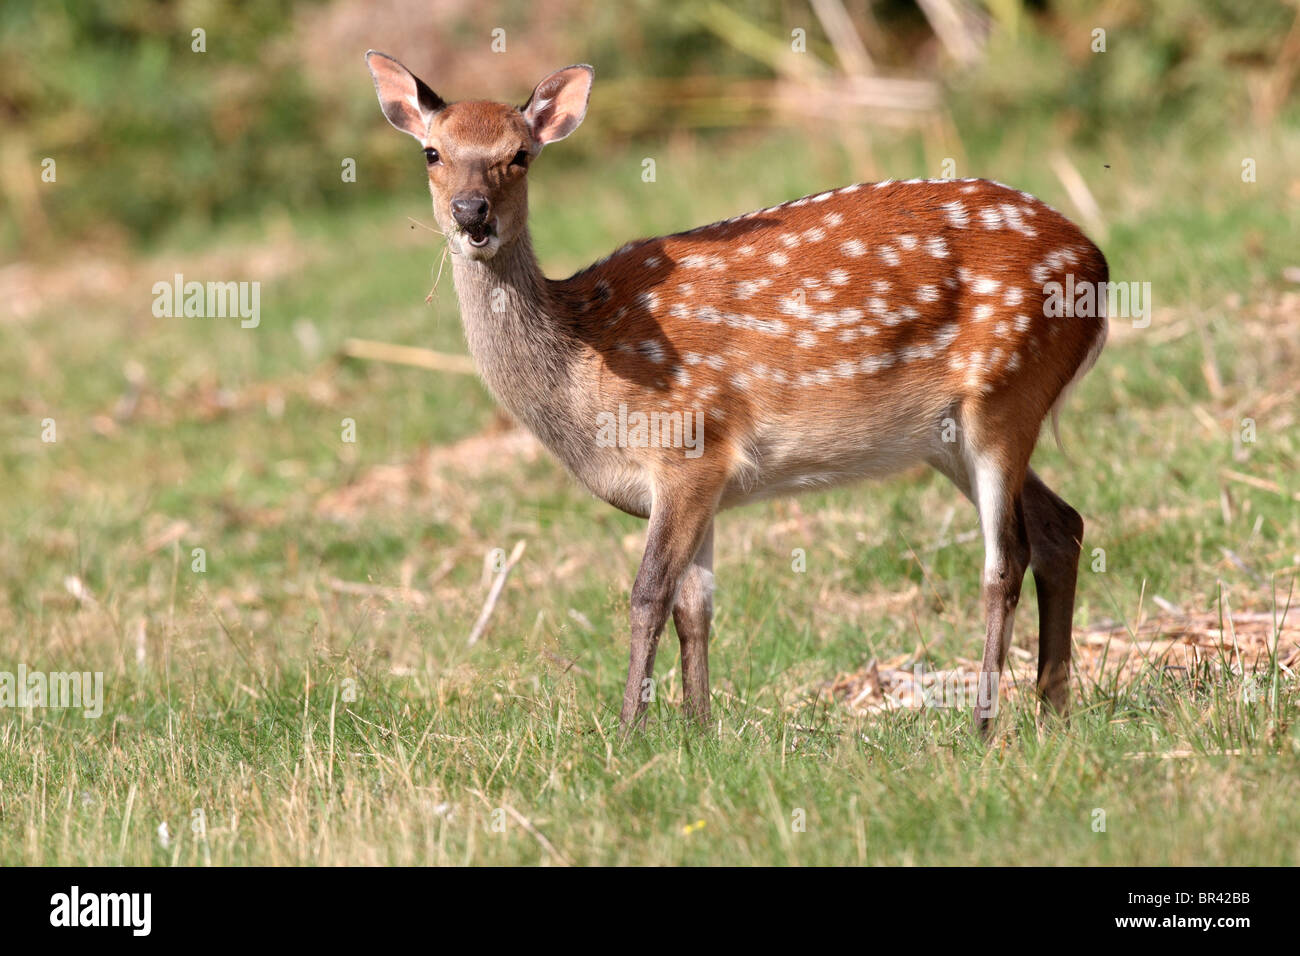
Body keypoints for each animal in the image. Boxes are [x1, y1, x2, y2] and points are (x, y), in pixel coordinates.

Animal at [366, 52, 1107, 738]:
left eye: (519, 155)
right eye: (433, 152)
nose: (471, 213)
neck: (586, 369)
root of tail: (1098, 266)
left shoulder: (689, 442)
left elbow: (648, 594)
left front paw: (630, 732)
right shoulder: (706, 477)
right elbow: (695, 607)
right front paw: (698, 731)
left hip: (1005, 388)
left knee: (1003, 559)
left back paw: (984, 725)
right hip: (947, 435)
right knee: (1060, 524)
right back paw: (1054, 710)